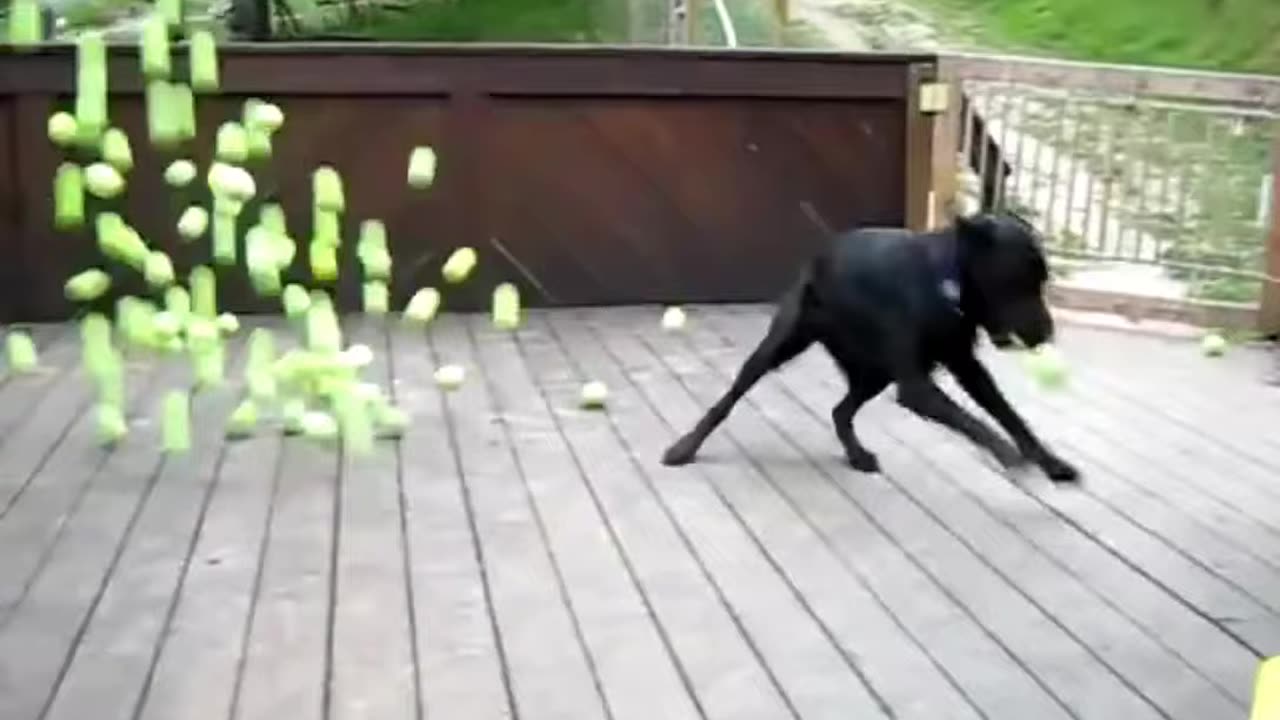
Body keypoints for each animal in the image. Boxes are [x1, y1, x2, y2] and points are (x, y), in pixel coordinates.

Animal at [670, 212, 1080, 481]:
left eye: (1042, 279)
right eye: (1015, 280)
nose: (1047, 334)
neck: (943, 283)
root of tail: (821, 254)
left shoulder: (966, 366)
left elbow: (1009, 415)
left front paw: (1051, 463)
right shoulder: (916, 388)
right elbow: (973, 421)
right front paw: (1005, 451)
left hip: (875, 374)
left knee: (840, 411)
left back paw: (857, 455)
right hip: (776, 349)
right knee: (726, 402)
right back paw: (683, 448)